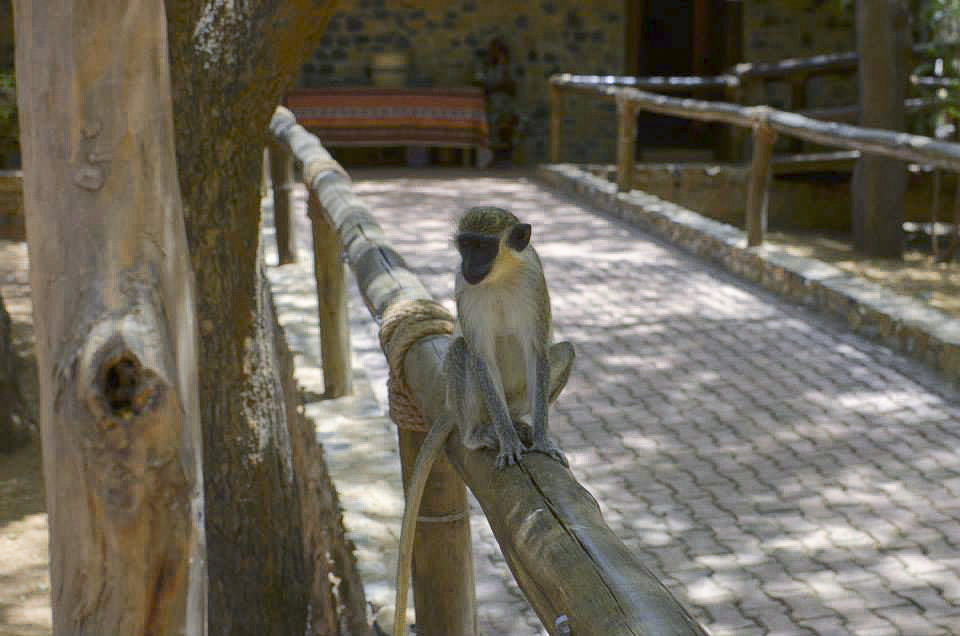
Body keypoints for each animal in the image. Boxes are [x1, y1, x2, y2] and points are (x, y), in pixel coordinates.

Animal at [392, 206, 574, 636]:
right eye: (465, 245)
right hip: (466, 405)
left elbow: (538, 351)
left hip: (517, 398)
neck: (501, 275)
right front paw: (508, 444)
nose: (468, 264)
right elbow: (480, 356)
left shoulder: (534, 280)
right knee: (461, 349)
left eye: (483, 246)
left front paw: (541, 438)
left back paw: (523, 424)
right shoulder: (463, 287)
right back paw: (483, 434)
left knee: (563, 350)